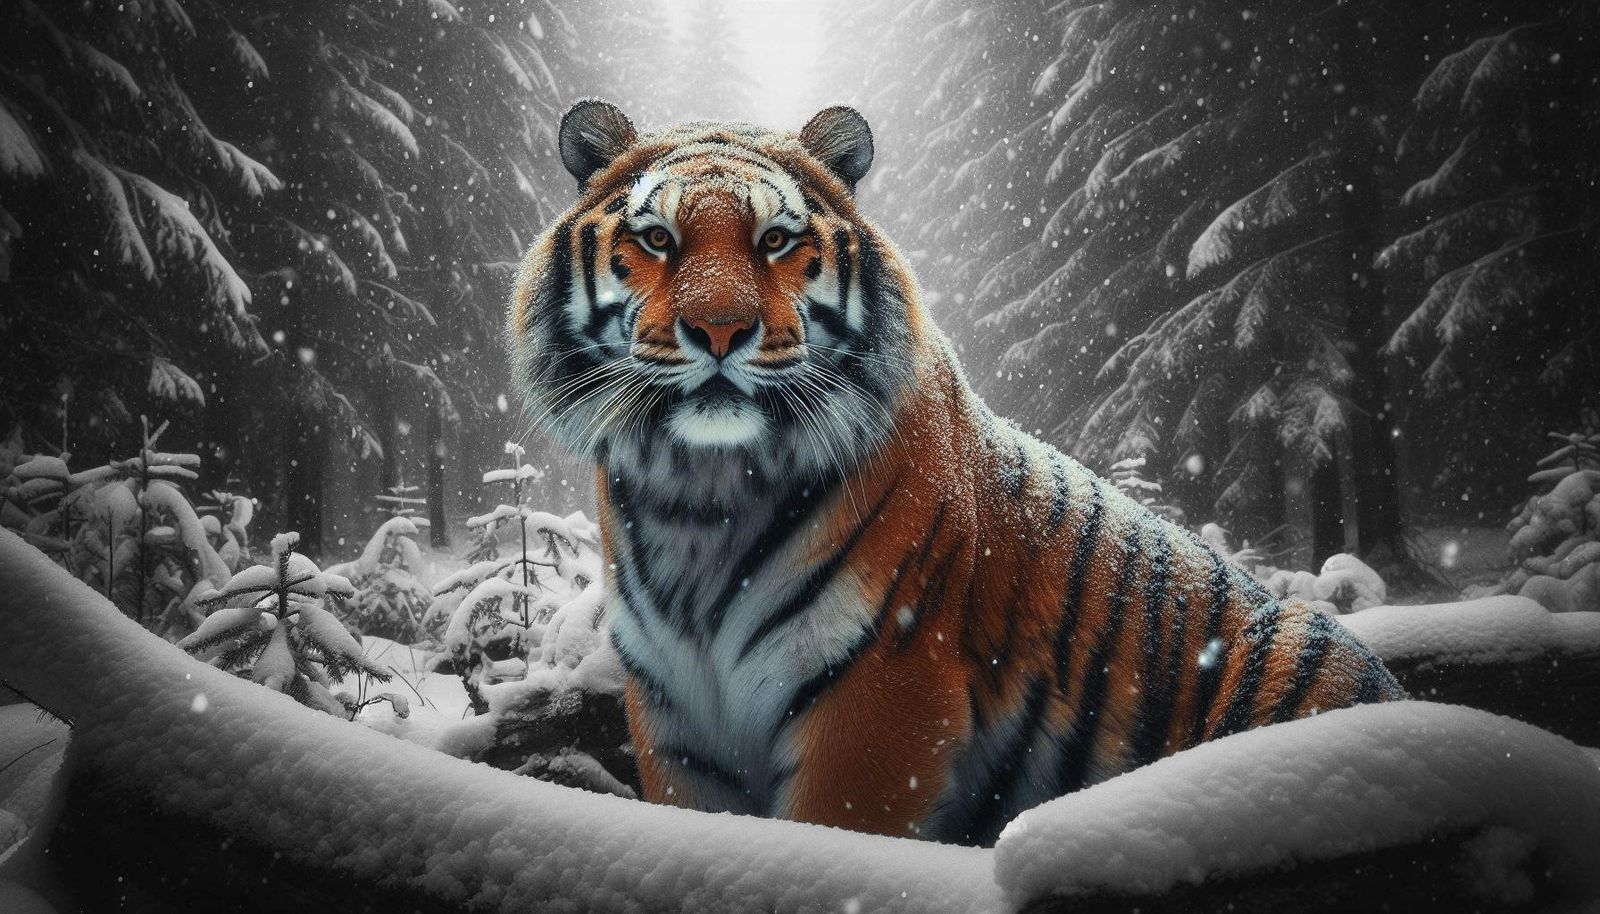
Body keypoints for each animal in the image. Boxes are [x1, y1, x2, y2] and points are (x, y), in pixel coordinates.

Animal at [507, 99, 1403, 846]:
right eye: (657, 239)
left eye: (776, 241)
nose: (720, 329)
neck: (699, 492)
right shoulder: (678, 720)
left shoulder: (879, 692)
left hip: (1301, 649)